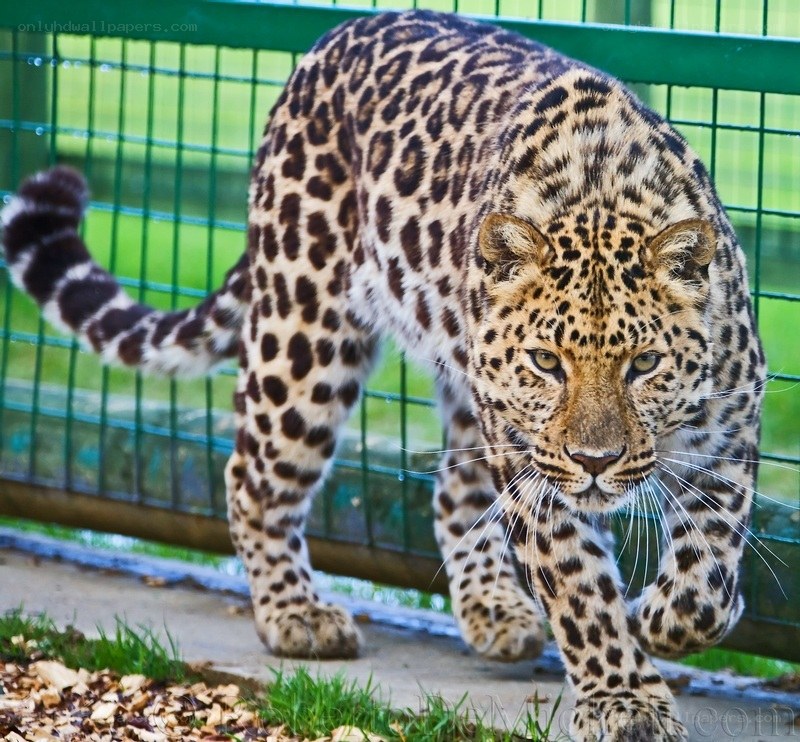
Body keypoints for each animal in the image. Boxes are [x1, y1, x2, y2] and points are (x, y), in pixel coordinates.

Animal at [1, 10, 765, 741]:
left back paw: (494, 608)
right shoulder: (534, 462)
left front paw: (669, 616)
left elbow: (710, 565)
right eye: (548, 362)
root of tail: (333, 37)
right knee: (252, 477)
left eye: (645, 364)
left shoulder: (731, 431)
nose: (596, 462)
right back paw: (298, 615)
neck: (601, 195)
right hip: (304, 340)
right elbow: (580, 592)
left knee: (452, 492)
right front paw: (624, 699)